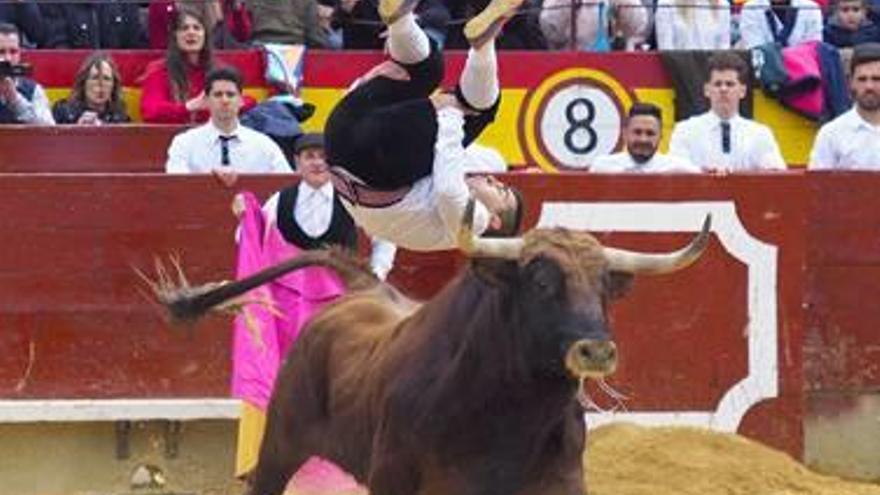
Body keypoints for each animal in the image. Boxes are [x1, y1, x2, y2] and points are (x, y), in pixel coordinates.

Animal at [151, 205, 712, 495]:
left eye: (604, 288)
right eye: (541, 283)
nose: (596, 350)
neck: (511, 416)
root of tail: (365, 289)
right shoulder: (395, 481)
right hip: (279, 444)